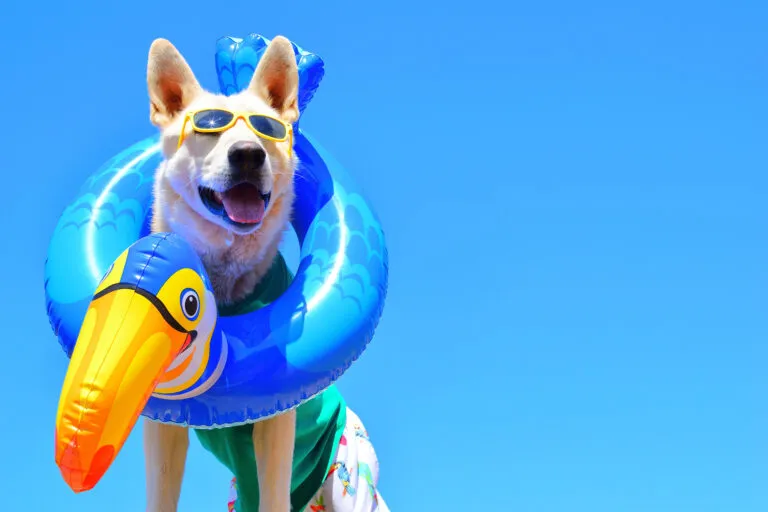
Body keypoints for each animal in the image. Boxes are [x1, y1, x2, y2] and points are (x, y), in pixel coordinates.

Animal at [143, 37, 388, 512]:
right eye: (208, 126)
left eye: (267, 129)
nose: (248, 155)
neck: (224, 278)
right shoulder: (162, 428)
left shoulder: (276, 423)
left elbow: (273, 491)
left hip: (353, 478)